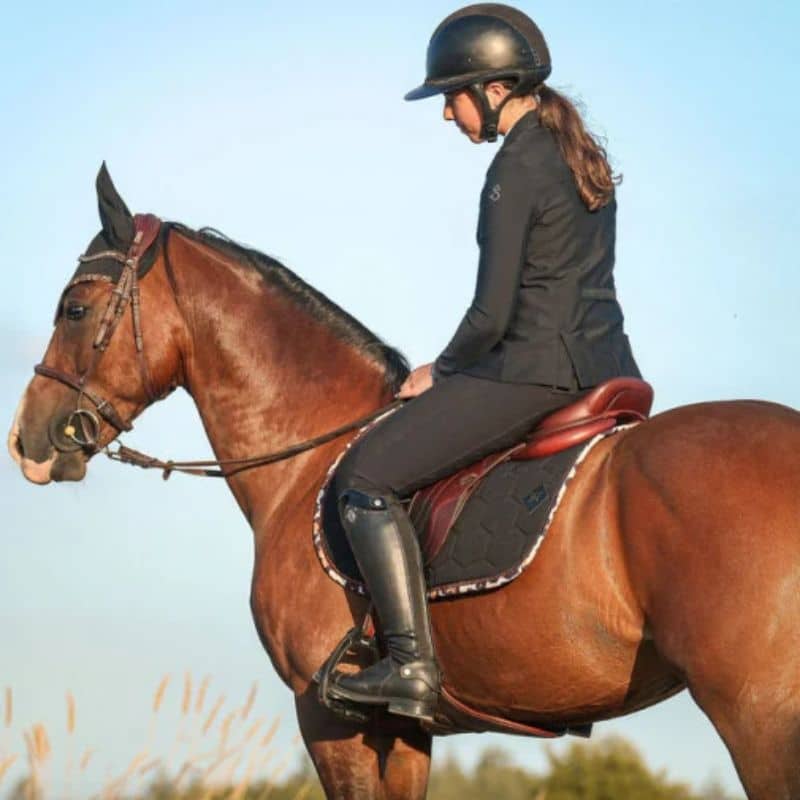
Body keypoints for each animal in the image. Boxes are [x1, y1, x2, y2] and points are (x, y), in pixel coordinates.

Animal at [8, 168, 800, 800]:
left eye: (74, 308)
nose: (27, 440)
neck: (308, 462)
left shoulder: (329, 715)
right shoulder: (406, 730)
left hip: (758, 714)